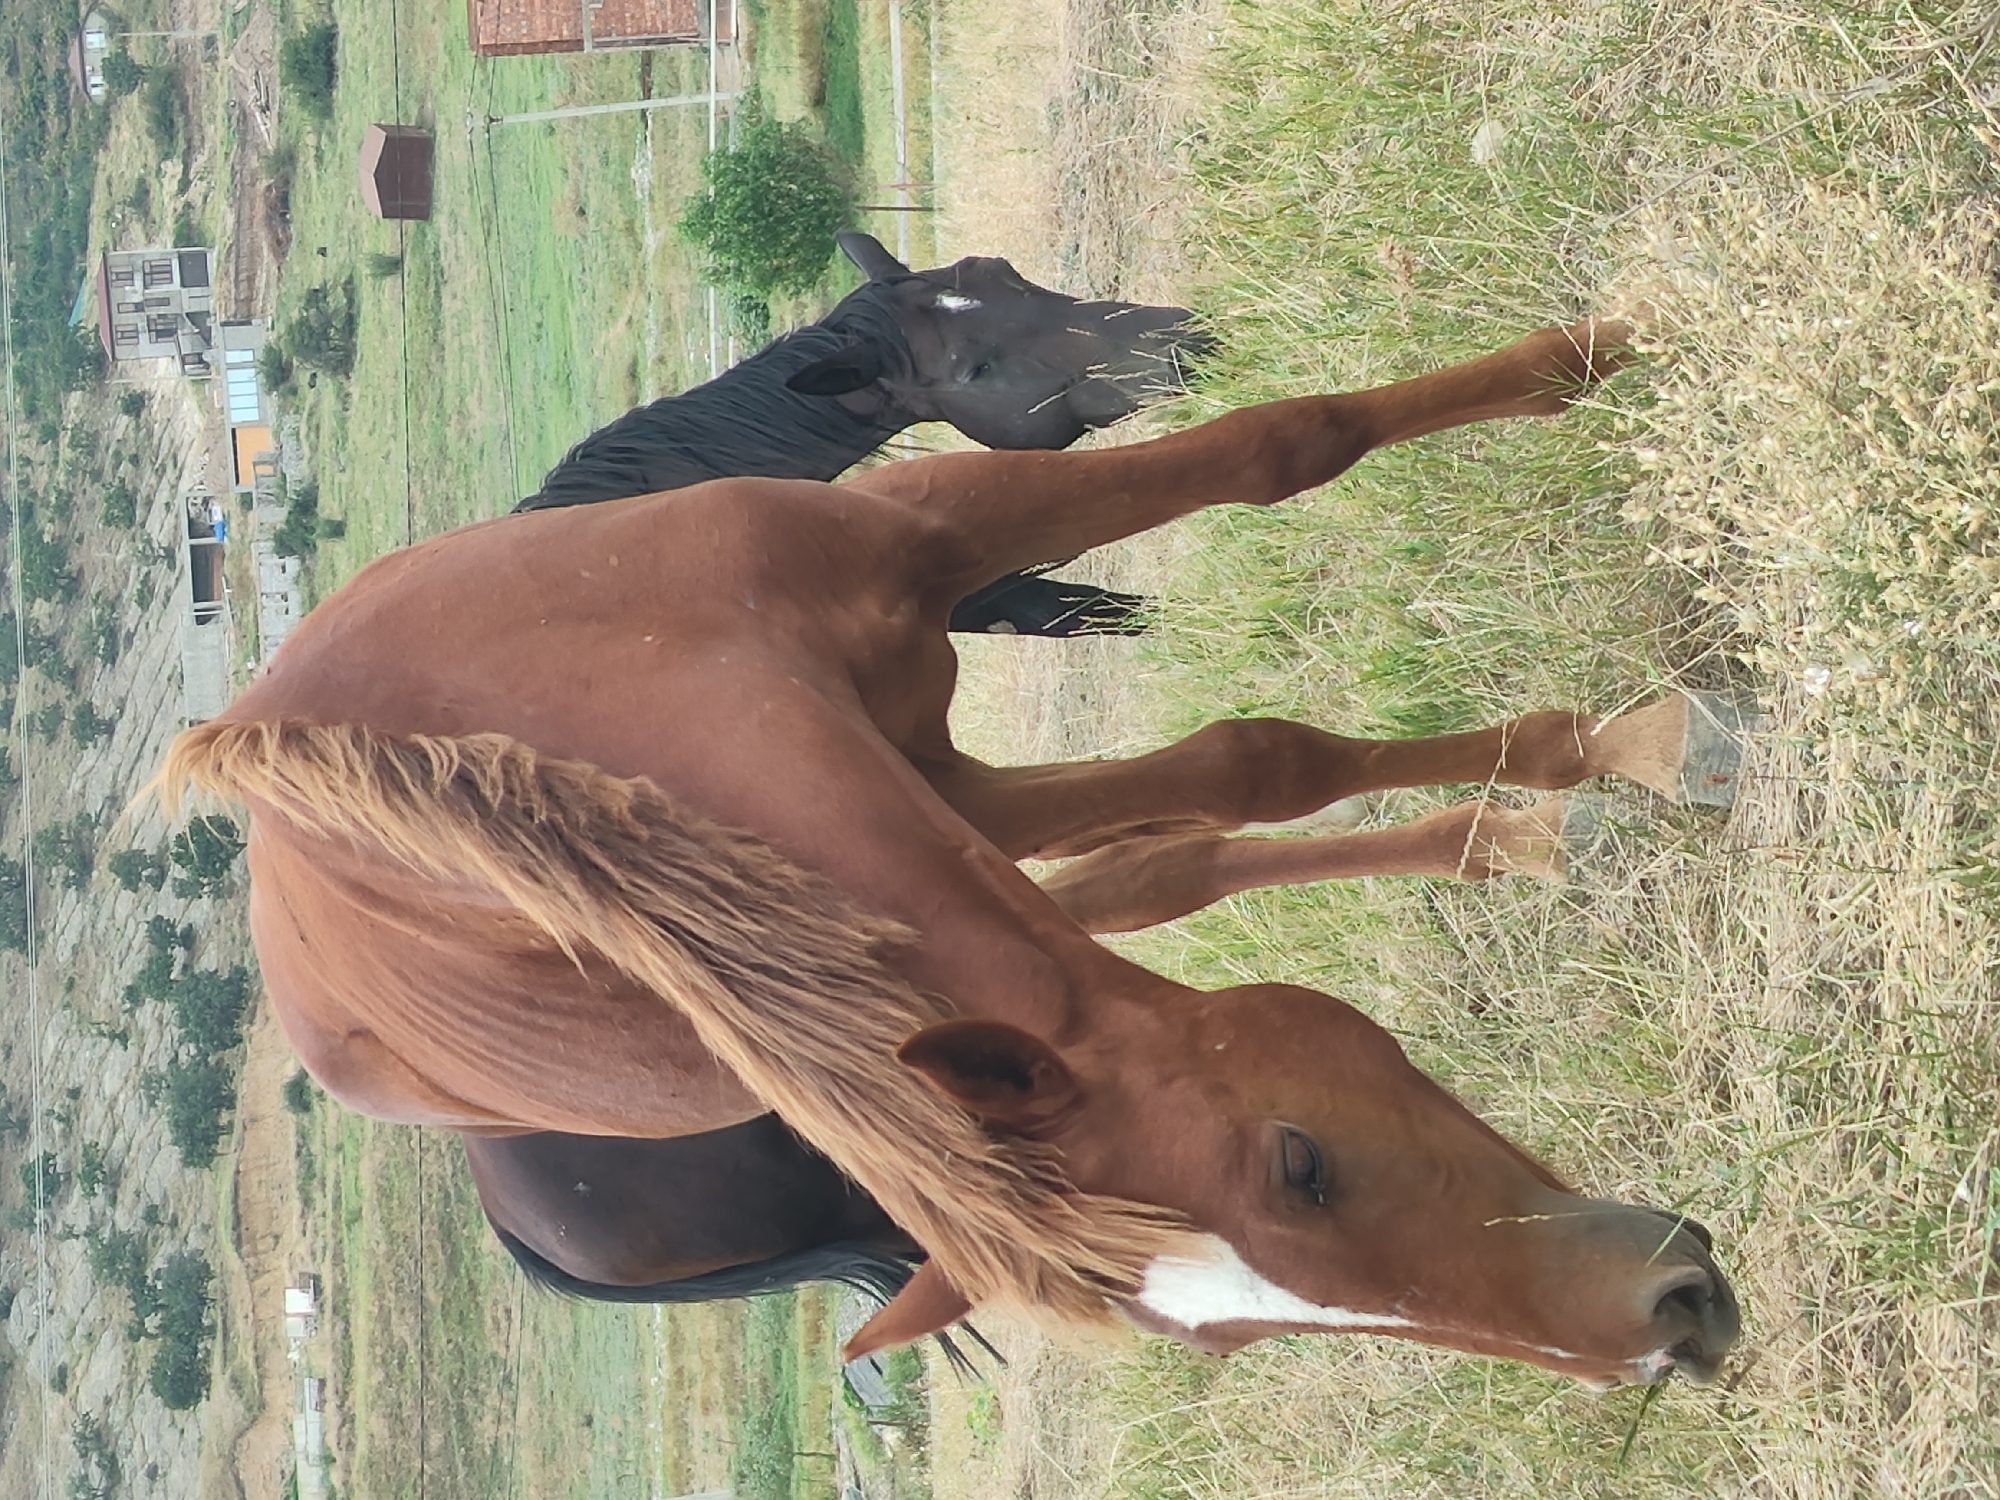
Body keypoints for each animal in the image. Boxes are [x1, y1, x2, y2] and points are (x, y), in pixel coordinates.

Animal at [164, 320, 1740, 1389]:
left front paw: (1599, 354)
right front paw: (1582, 769)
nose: (1663, 1334)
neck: (559, 715)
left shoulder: (930, 660)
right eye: (1299, 1167)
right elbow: (1241, 775)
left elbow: (1283, 485)